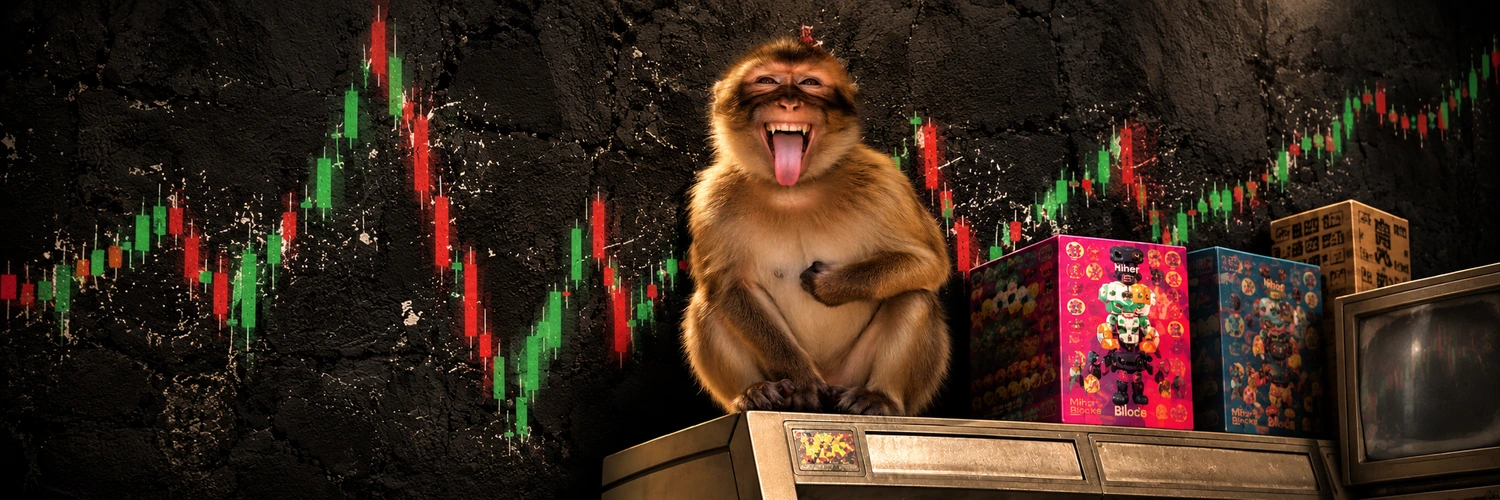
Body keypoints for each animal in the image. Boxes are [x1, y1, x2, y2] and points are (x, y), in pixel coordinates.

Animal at [680, 37, 951, 417]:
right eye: (767, 81)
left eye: (810, 83)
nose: (790, 101)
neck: (794, 190)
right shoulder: (710, 199)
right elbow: (729, 286)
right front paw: (801, 379)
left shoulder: (884, 182)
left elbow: (928, 263)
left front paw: (830, 285)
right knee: (708, 303)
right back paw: (754, 392)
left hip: (853, 373)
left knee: (914, 296)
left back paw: (880, 397)